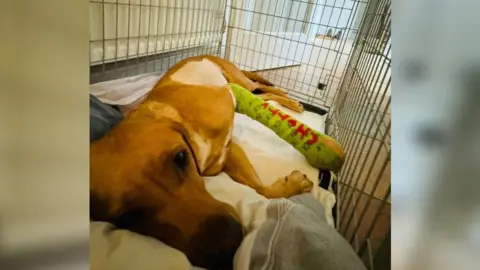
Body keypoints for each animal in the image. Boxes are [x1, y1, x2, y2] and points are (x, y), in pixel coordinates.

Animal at [90, 54, 316, 270]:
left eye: (180, 157)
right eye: (127, 216)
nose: (227, 242)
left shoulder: (228, 147)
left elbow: (260, 188)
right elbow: (258, 188)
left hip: (239, 81)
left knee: (261, 88)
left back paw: (289, 100)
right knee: (262, 96)